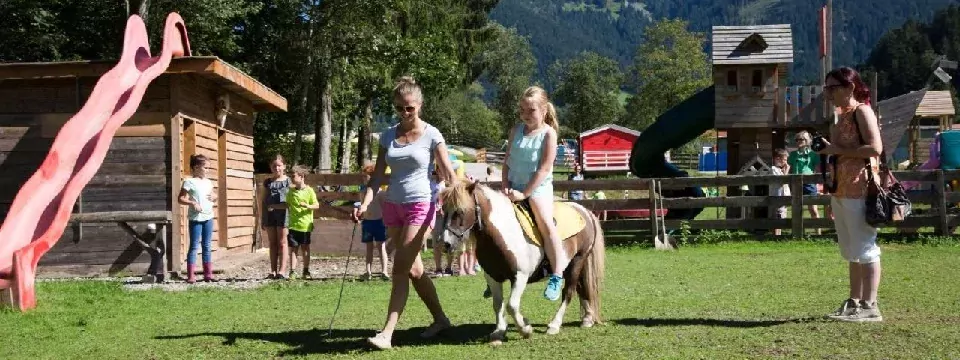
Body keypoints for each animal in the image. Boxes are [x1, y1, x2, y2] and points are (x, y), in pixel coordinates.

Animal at [438, 180, 604, 344]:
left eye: (460, 211)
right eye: (443, 210)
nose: (445, 244)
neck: (504, 233)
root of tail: (583, 211)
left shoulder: (520, 276)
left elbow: (511, 305)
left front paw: (525, 329)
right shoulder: (492, 277)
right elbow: (498, 304)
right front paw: (499, 331)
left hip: (577, 261)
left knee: (568, 292)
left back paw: (554, 325)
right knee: (581, 288)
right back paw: (587, 319)